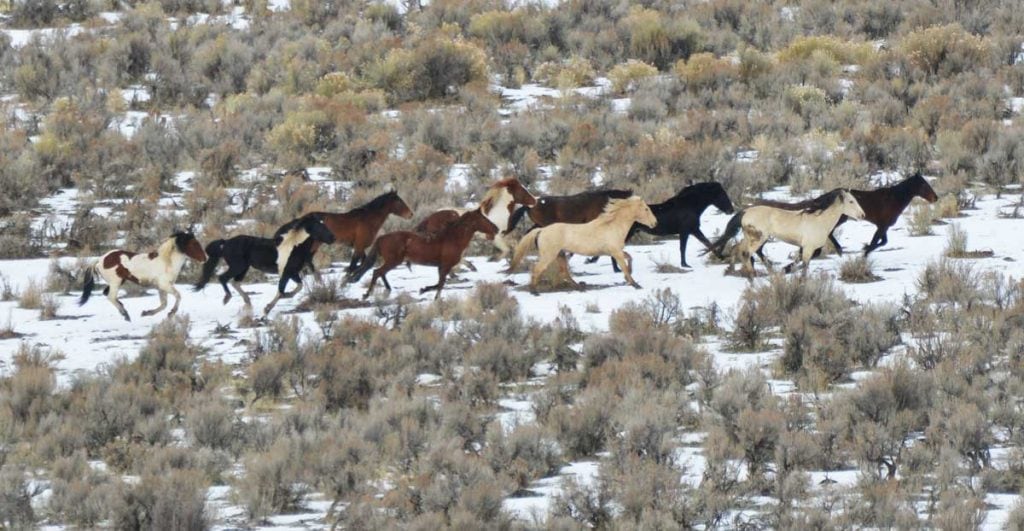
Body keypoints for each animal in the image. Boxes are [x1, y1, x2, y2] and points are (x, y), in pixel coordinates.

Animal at [80, 231, 208, 321]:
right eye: (194, 244)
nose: (206, 258)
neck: (167, 262)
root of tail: (100, 260)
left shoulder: (161, 287)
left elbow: (163, 304)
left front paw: (146, 313)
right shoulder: (164, 285)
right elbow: (178, 296)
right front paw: (171, 313)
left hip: (118, 281)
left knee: (107, 294)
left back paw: (124, 310)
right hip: (115, 282)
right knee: (110, 297)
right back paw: (125, 314)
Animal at [193, 212, 333, 315]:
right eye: (319, 226)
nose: (332, 238)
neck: (294, 246)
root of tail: (225, 243)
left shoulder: (293, 273)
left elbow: (298, 287)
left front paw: (286, 296)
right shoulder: (287, 272)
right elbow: (281, 290)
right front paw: (267, 309)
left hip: (243, 268)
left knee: (235, 282)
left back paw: (248, 302)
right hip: (238, 266)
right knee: (223, 278)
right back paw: (227, 298)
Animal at [348, 207, 499, 298]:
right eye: (483, 218)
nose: (496, 228)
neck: (452, 238)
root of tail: (381, 238)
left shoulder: (441, 267)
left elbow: (440, 284)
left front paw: (425, 290)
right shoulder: (445, 266)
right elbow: (440, 284)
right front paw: (429, 294)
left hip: (392, 261)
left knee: (380, 272)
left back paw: (387, 289)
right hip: (393, 261)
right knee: (377, 272)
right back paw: (368, 294)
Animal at [509, 196, 655, 294]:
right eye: (646, 209)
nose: (655, 223)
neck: (612, 226)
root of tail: (542, 230)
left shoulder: (616, 251)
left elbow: (629, 258)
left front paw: (630, 276)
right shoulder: (616, 252)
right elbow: (624, 265)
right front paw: (635, 284)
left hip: (559, 254)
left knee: (564, 272)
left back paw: (579, 287)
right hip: (548, 256)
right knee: (537, 269)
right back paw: (534, 291)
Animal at [585, 182, 737, 272]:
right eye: (721, 194)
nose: (731, 210)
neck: (689, 205)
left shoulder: (692, 230)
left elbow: (706, 242)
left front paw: (721, 256)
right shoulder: (687, 231)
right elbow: (686, 247)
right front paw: (685, 264)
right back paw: (616, 269)